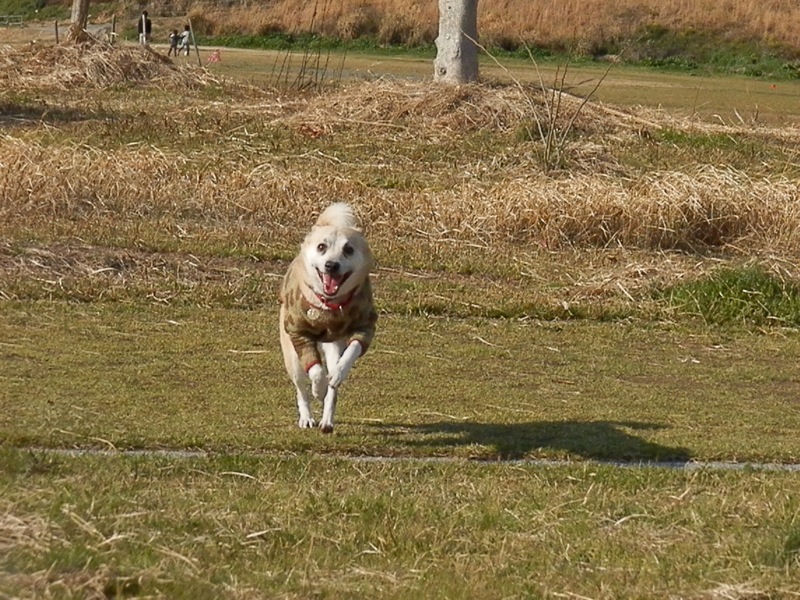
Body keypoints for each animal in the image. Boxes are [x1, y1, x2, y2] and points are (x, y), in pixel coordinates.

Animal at [279, 203, 377, 433]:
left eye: (348, 249)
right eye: (321, 247)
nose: (332, 265)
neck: (330, 305)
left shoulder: (365, 326)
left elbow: (351, 351)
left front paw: (337, 374)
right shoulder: (298, 332)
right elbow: (315, 370)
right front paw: (319, 388)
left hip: (333, 345)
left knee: (333, 386)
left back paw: (327, 419)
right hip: (292, 358)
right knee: (301, 387)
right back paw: (307, 417)